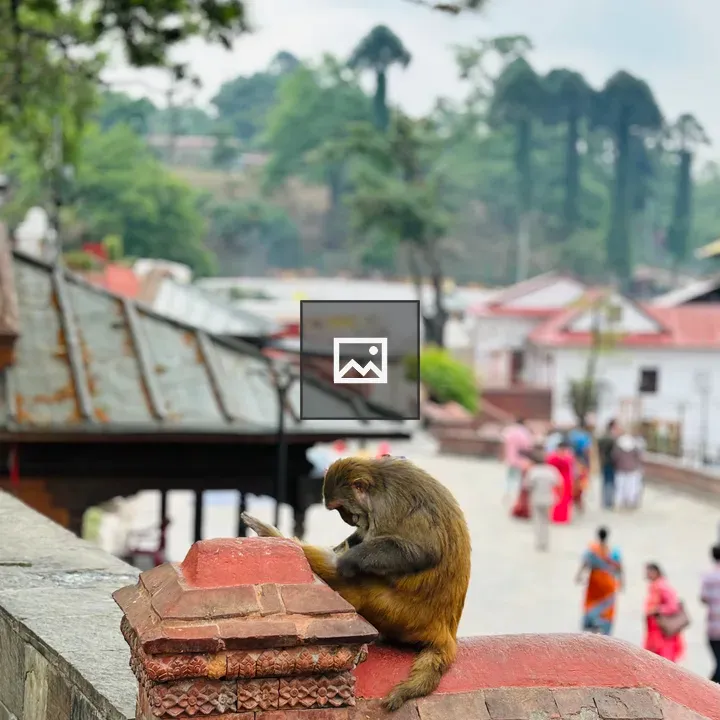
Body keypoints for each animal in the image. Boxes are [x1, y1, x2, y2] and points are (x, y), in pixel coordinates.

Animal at [241, 455, 471, 712]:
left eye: (342, 508)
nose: (351, 520)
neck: (380, 479)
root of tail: (445, 628)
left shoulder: (387, 504)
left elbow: (423, 551)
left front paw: (348, 559)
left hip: (394, 611)